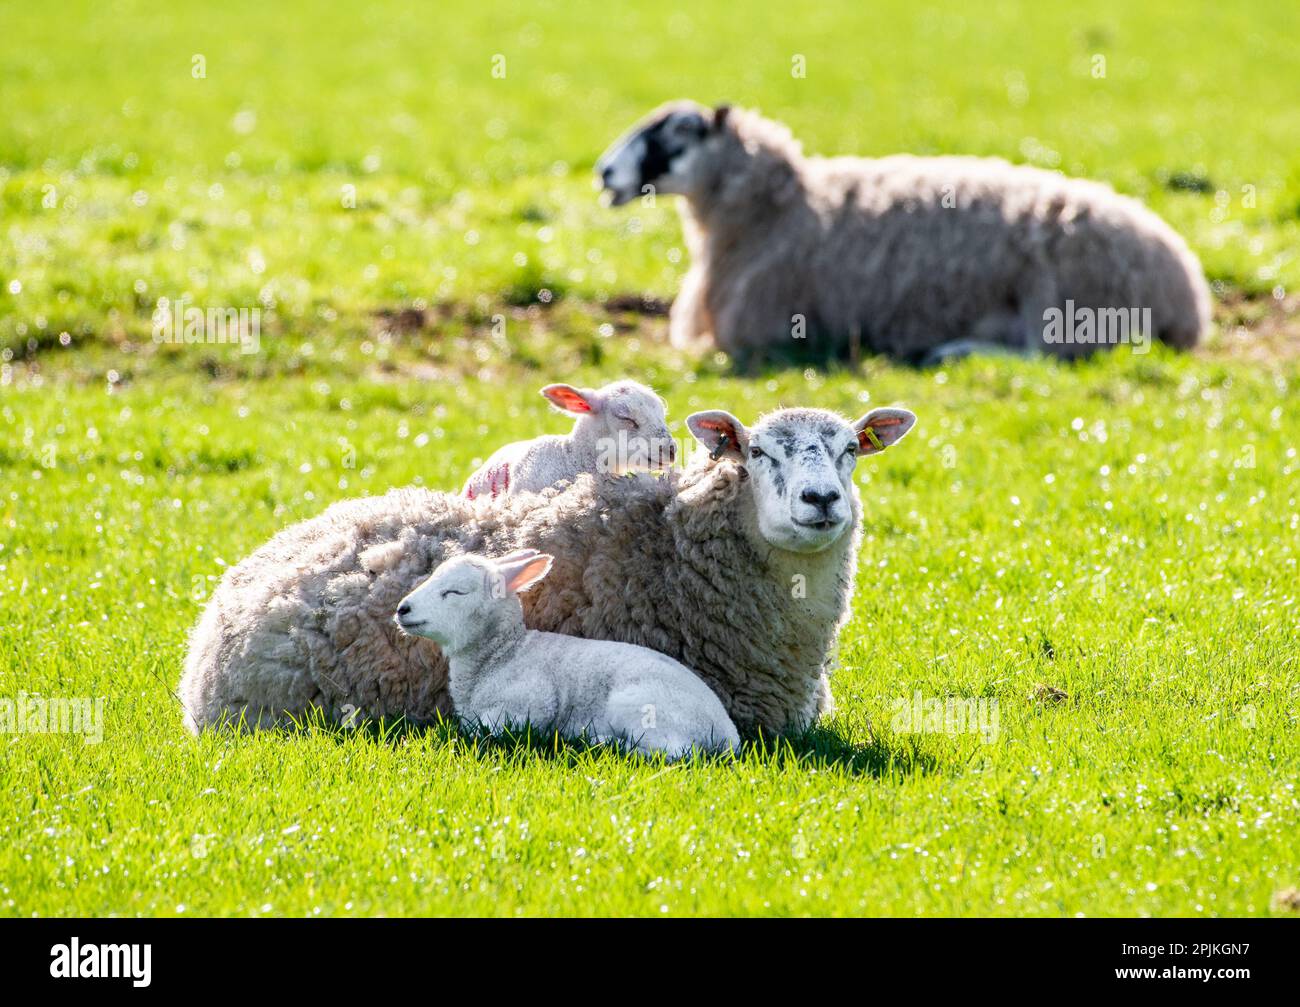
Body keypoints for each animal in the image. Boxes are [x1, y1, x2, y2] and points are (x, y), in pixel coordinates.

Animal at [392, 550, 743, 758]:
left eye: (455, 592)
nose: (402, 609)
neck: (503, 654)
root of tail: (727, 734)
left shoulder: (529, 703)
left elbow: (481, 729)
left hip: (642, 707)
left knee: (673, 752)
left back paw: (601, 740)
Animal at [595, 98, 1211, 363]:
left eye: (679, 130)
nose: (602, 171)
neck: (777, 210)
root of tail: (1191, 293)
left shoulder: (756, 334)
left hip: (1066, 307)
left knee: (1049, 356)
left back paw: (954, 350)